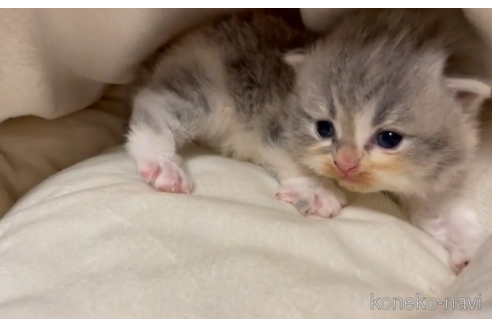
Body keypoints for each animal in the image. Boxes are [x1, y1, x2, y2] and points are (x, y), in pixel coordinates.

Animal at [128, 9, 492, 272]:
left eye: (389, 138)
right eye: (324, 129)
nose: (345, 164)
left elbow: (437, 209)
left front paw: (470, 249)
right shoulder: (272, 118)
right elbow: (289, 155)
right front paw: (317, 190)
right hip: (213, 87)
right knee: (154, 103)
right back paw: (162, 163)